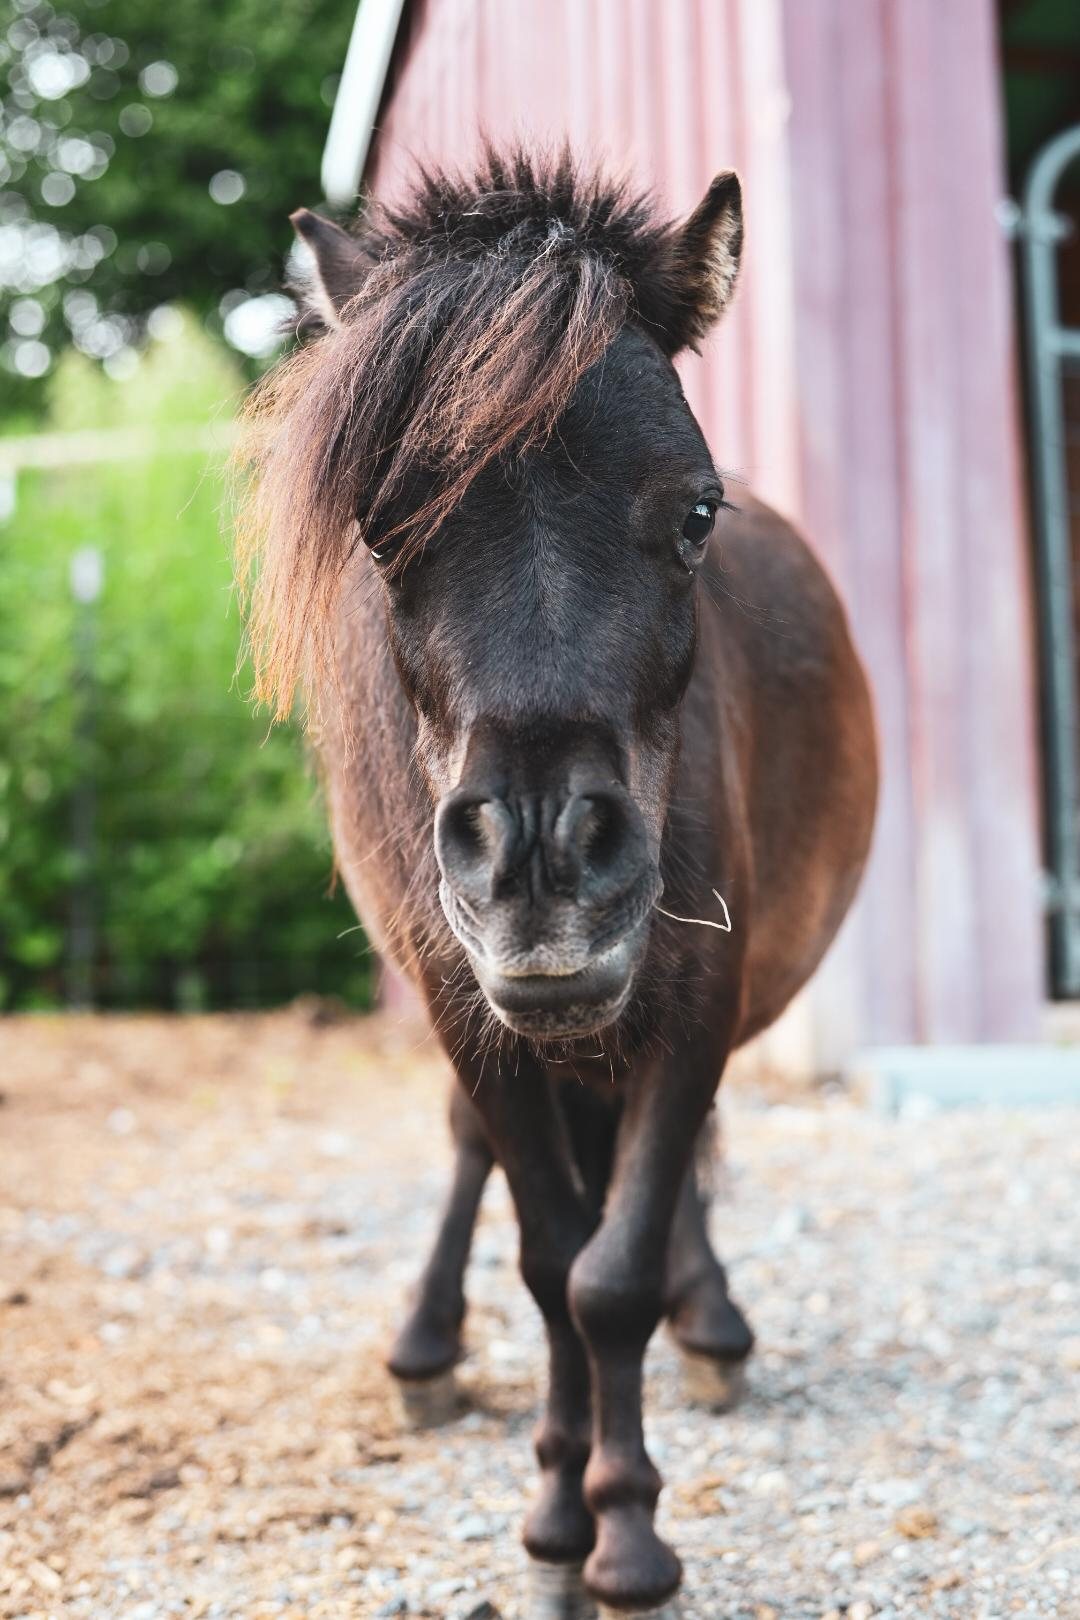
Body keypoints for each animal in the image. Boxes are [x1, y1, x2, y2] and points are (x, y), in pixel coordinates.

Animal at [237, 147, 878, 1618]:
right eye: (381, 529)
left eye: (697, 511)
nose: (542, 861)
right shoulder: (468, 1005)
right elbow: (548, 1262)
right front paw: (555, 1521)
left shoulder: (696, 990)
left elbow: (613, 1274)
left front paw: (625, 1539)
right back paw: (425, 1350)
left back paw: (713, 1323)